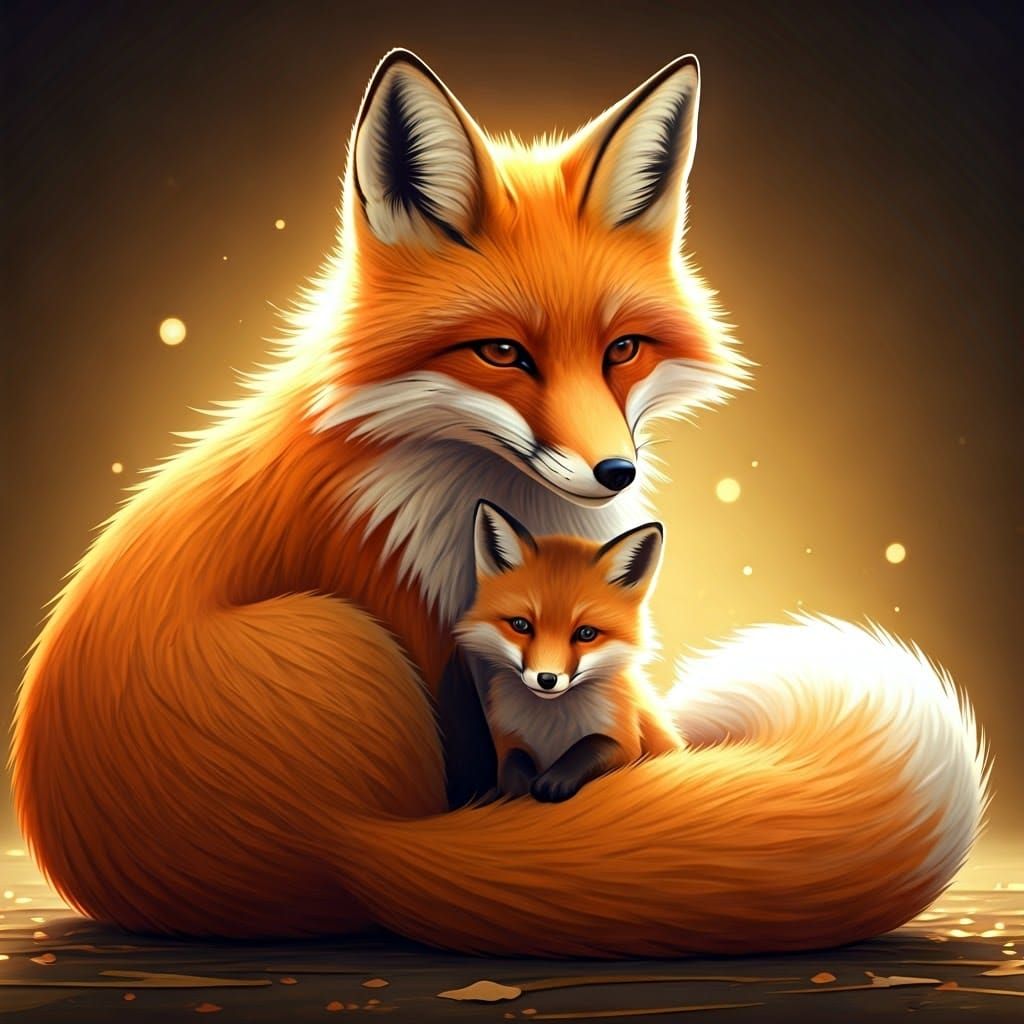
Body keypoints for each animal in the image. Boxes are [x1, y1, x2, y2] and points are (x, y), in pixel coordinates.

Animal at [455, 501, 681, 804]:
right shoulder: (507, 740)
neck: (552, 727)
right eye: (521, 625)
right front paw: (517, 790)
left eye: (586, 633)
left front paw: (555, 780)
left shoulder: (627, 742)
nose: (546, 679)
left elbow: (595, 742)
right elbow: (514, 764)